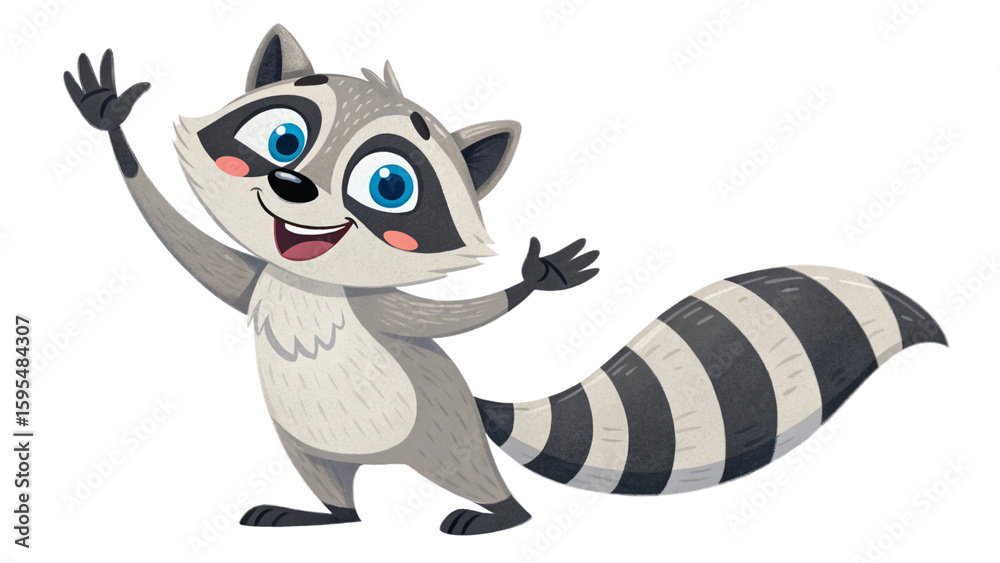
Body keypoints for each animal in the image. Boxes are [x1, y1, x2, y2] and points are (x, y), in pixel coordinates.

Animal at [64, 24, 946, 536]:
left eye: (389, 185)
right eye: (282, 138)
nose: (290, 187)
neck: (311, 280)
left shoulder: (389, 312)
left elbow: (455, 318)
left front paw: (536, 276)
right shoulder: (255, 274)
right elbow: (185, 243)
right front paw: (113, 126)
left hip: (444, 432)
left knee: (491, 484)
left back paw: (499, 516)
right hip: (311, 442)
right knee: (337, 490)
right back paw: (325, 514)